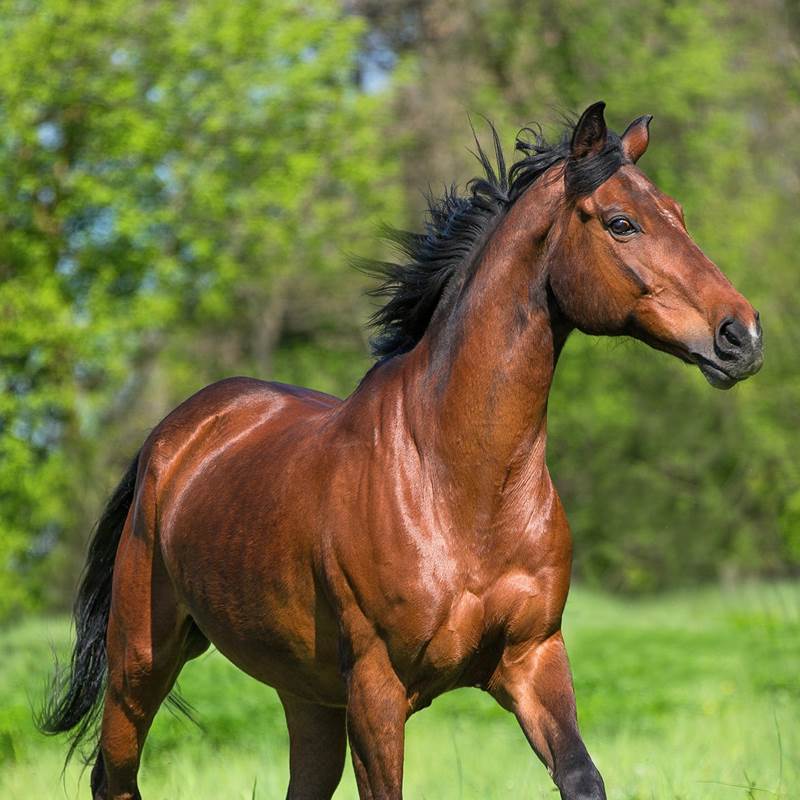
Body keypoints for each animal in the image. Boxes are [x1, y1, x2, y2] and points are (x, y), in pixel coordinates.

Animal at [40, 101, 763, 800]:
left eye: (678, 214)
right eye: (620, 223)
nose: (742, 336)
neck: (457, 486)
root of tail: (175, 434)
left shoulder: (532, 660)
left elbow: (582, 776)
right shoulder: (377, 687)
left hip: (305, 692)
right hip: (140, 663)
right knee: (114, 778)